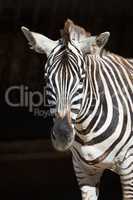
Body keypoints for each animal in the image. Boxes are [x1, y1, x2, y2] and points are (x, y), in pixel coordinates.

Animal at [21, 20, 133, 200]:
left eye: (82, 79)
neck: (86, 131)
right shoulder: (83, 171)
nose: (62, 136)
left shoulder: (129, 167)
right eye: (47, 79)